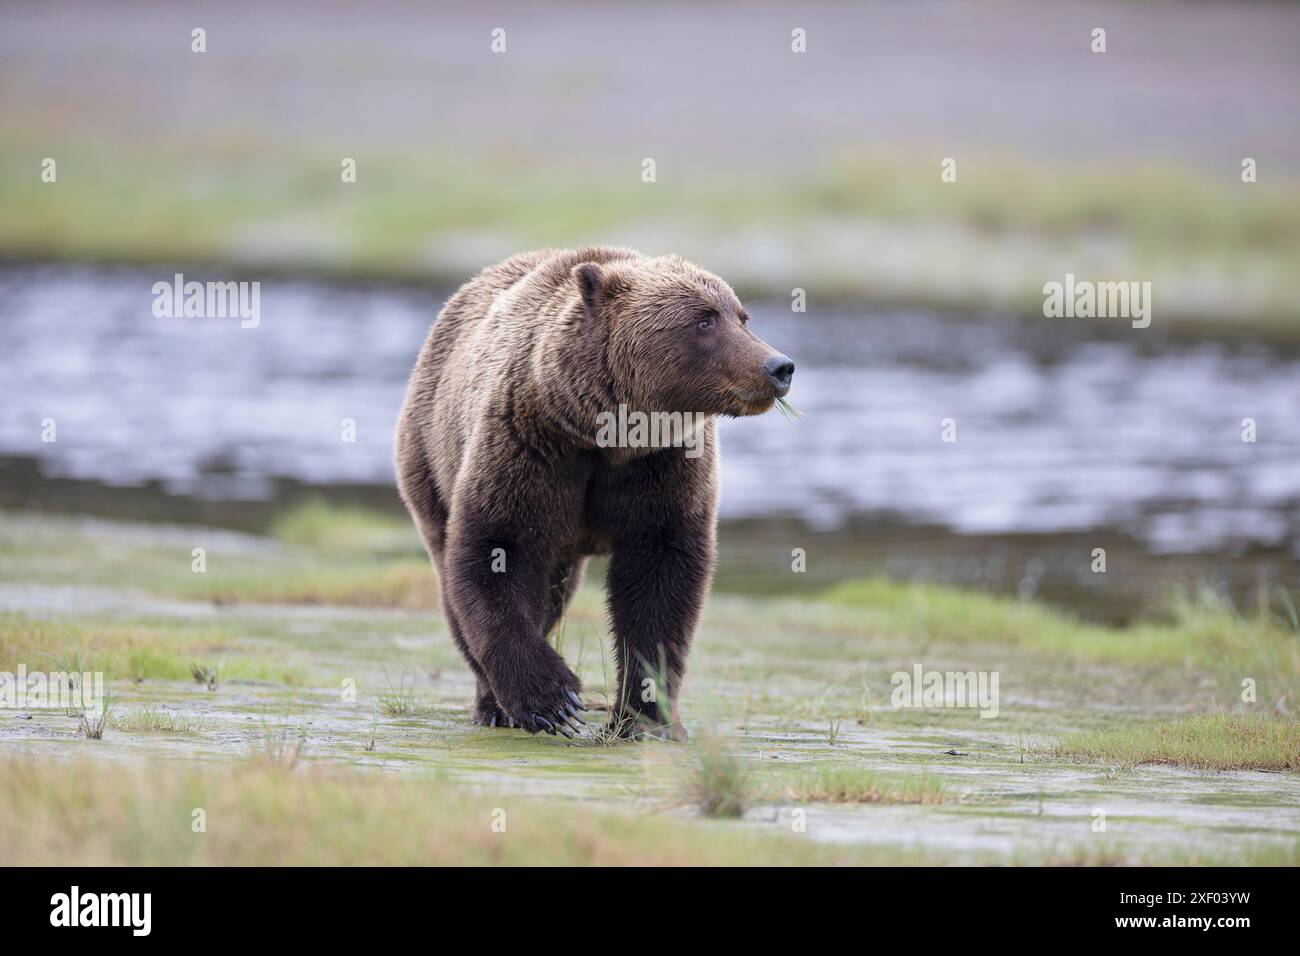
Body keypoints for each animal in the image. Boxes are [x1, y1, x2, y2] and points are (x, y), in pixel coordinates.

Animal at [394, 246, 794, 739]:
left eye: (741, 316)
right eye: (704, 320)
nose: (778, 366)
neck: (606, 437)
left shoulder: (663, 468)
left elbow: (661, 579)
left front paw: (647, 715)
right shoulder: (528, 445)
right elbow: (497, 551)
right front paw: (554, 701)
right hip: (429, 459)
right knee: (460, 587)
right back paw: (493, 705)